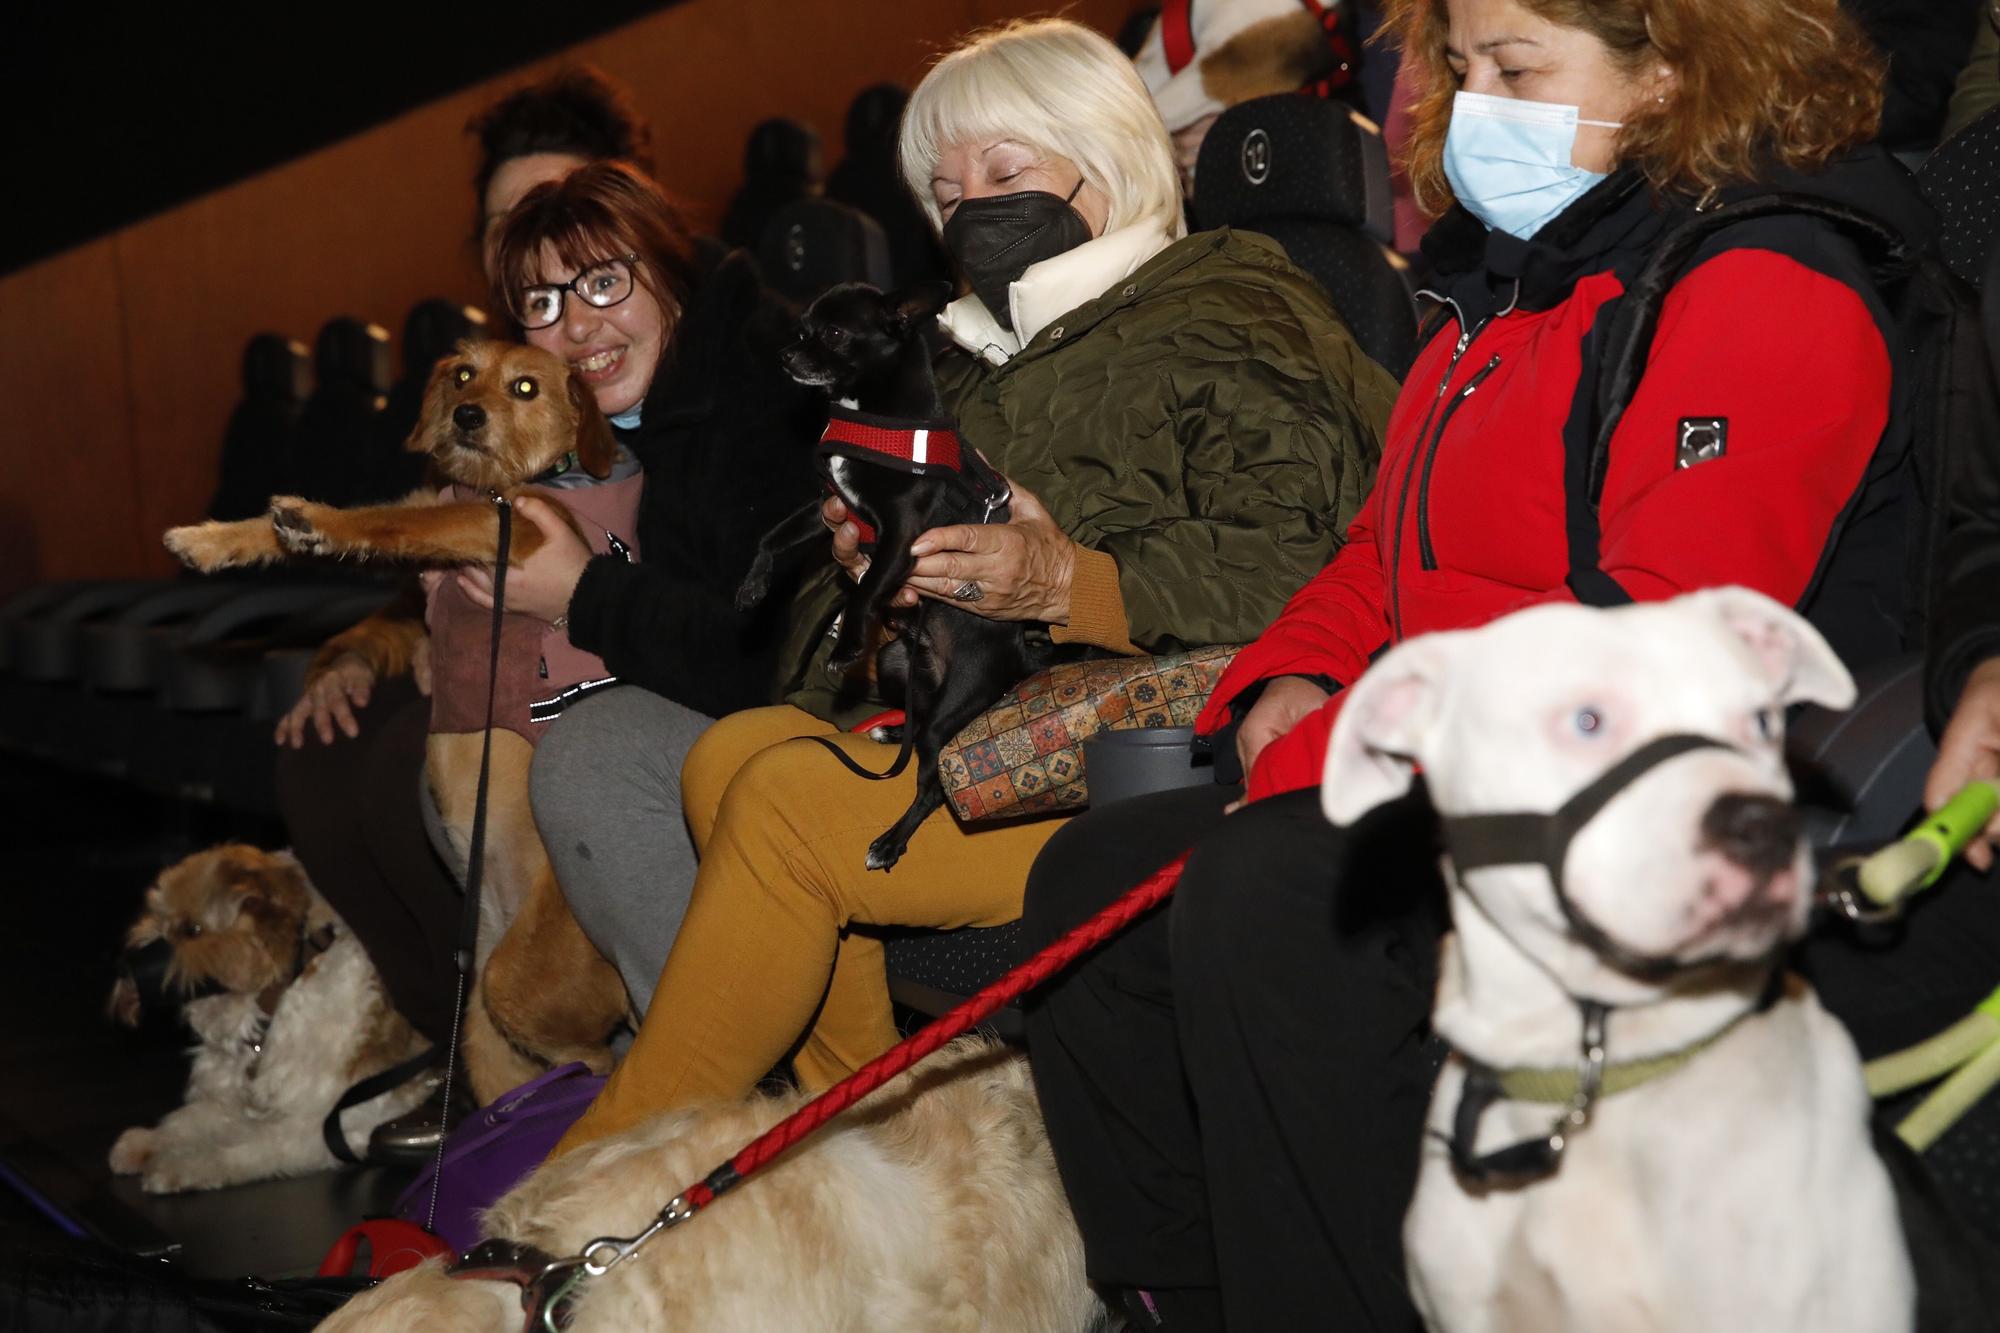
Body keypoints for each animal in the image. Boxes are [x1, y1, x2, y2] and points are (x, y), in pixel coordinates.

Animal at [107, 840, 428, 1184]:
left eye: (192, 930)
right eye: (156, 920)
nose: (122, 969)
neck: (274, 1005)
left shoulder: (319, 1128)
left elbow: (244, 1151)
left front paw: (180, 1165)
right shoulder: (230, 1099)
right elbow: (185, 1121)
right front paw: (145, 1142)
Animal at [172, 340, 644, 1096]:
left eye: (526, 387)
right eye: (463, 375)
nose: (467, 414)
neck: (509, 483)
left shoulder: (501, 527)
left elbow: (388, 523)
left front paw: (315, 519)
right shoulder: (450, 513)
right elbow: (366, 525)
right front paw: (212, 540)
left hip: (521, 985)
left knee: (601, 1059)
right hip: (484, 1036)